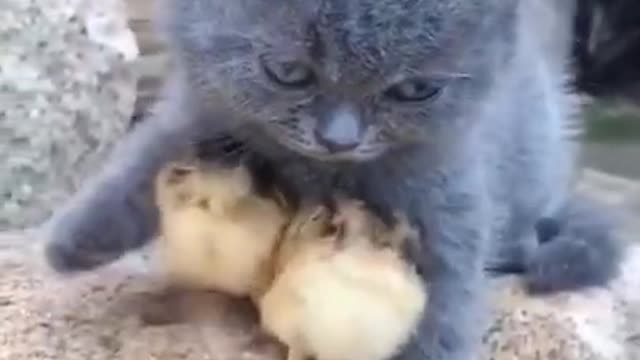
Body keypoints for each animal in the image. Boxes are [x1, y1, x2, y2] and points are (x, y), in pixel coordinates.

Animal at [42, 1, 624, 358]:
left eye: (413, 90)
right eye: (288, 72)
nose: (339, 138)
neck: (318, 168)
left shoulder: (449, 185)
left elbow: (450, 289)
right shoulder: (202, 110)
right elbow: (144, 159)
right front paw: (76, 239)